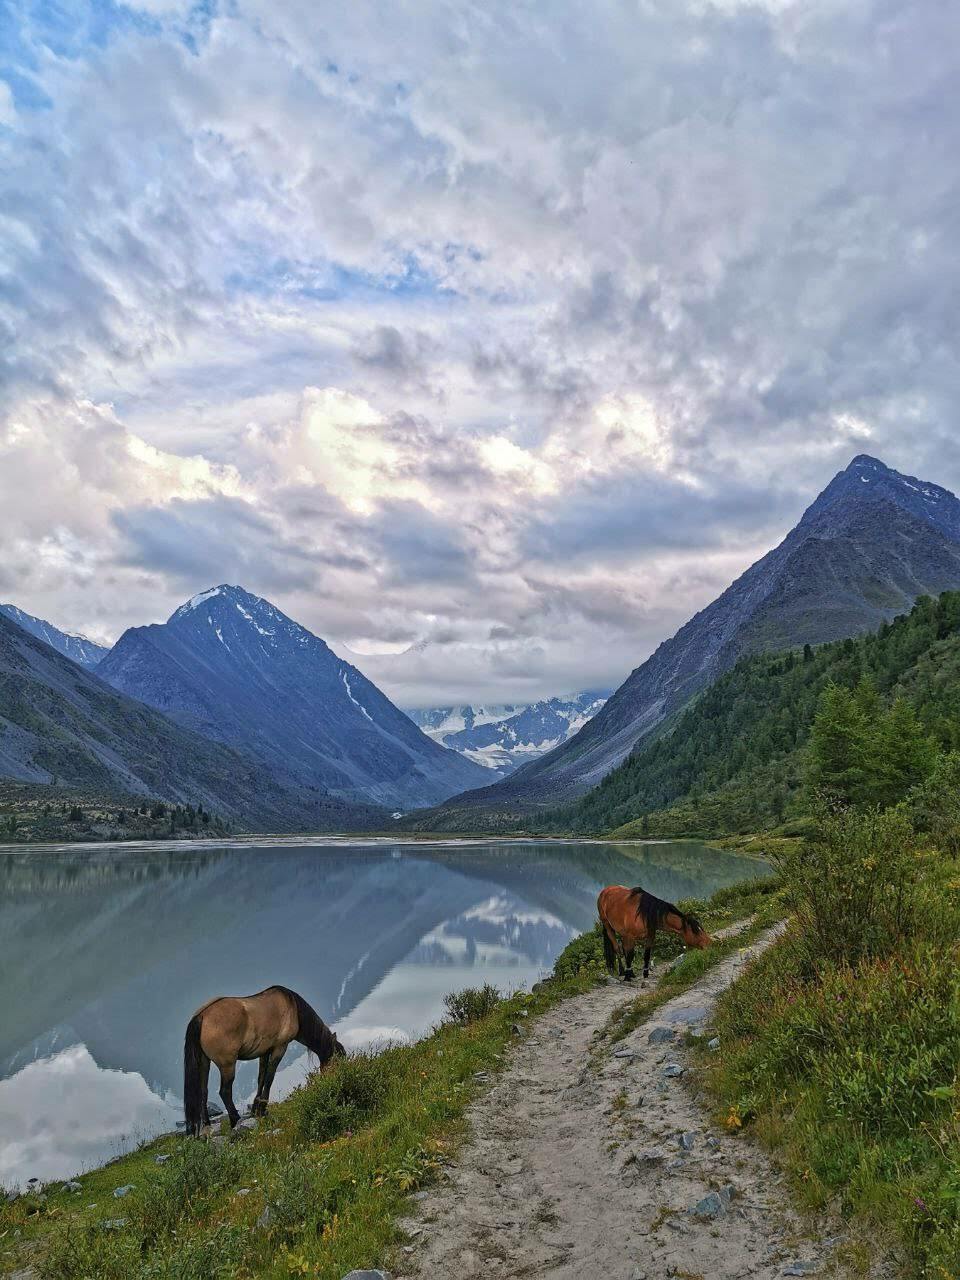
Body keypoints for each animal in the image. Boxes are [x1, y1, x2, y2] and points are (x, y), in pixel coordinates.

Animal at [181, 983, 343, 1136]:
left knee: (203, 1091)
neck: (293, 1007)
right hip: (227, 1064)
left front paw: (256, 1109)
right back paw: (235, 1120)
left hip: (204, 1061)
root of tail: (201, 1016)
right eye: (337, 1060)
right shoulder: (280, 1047)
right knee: (225, 1091)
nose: (335, 1083)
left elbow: (261, 1078)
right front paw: (263, 1109)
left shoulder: (264, 1052)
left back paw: (207, 1124)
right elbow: (270, 1078)